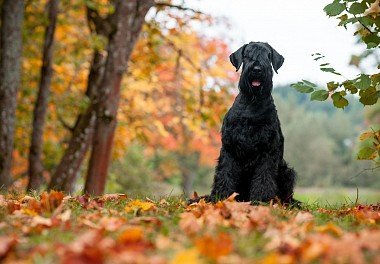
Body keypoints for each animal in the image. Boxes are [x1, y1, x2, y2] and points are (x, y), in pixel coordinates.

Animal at [206, 41, 298, 204]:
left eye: (268, 55)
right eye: (247, 54)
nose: (257, 69)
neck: (252, 102)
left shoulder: (267, 150)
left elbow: (263, 177)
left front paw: (260, 201)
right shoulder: (229, 148)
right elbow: (225, 174)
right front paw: (220, 199)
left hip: (287, 171)